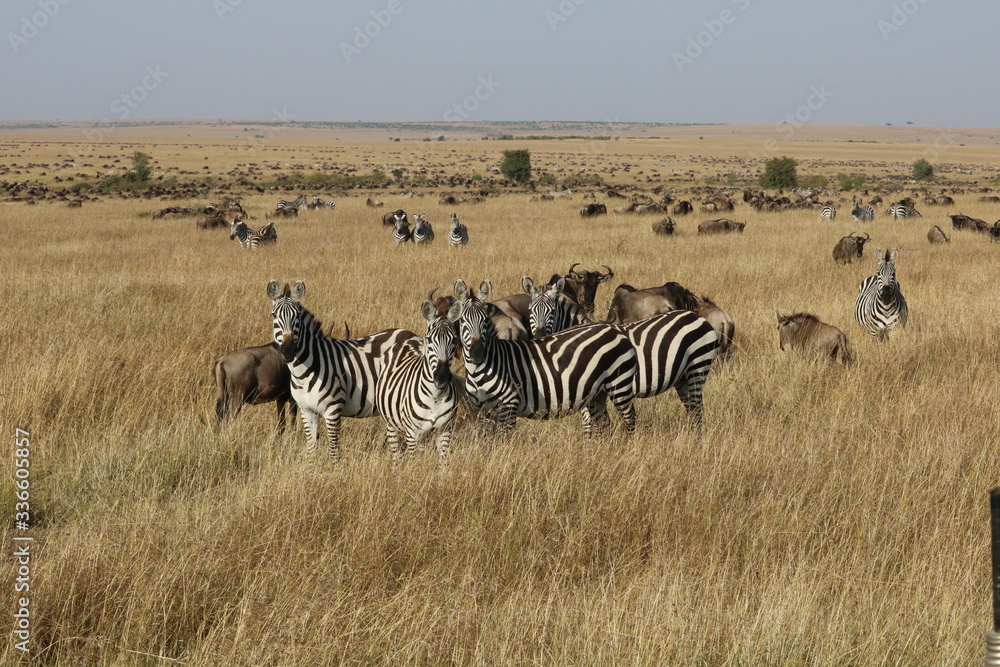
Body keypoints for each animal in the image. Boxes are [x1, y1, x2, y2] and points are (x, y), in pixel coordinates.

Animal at [267, 280, 421, 461]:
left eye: (297, 316)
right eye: (274, 315)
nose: (289, 350)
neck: (303, 373)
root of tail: (411, 334)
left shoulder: (333, 410)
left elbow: (334, 451)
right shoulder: (307, 411)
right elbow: (311, 449)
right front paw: (311, 467)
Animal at [375, 299, 462, 464]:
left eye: (454, 340)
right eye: (429, 339)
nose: (442, 377)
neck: (436, 396)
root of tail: (405, 338)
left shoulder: (445, 430)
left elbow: (443, 462)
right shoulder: (412, 433)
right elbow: (413, 461)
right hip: (391, 425)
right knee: (396, 454)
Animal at [453, 279, 638, 437]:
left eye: (485, 321)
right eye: (461, 321)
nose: (477, 353)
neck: (479, 371)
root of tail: (613, 330)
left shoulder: (509, 405)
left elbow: (503, 440)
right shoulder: (482, 410)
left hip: (619, 386)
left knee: (630, 420)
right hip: (597, 393)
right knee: (604, 425)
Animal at [527, 277, 719, 431]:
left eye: (552, 311)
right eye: (530, 310)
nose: (538, 335)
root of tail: (698, 317)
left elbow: (589, 424)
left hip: (697, 368)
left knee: (697, 408)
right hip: (682, 377)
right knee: (692, 409)